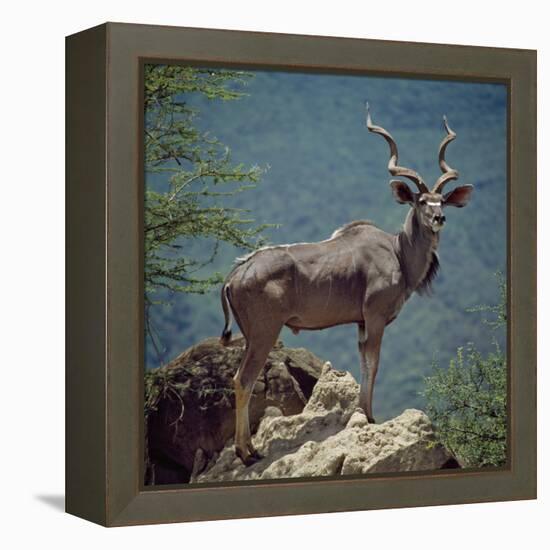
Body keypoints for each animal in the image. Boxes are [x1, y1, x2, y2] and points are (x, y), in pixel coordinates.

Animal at [220, 106, 474, 466]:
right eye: (422, 201)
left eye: (441, 200)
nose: (439, 219)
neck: (398, 251)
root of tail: (235, 275)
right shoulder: (376, 317)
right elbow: (374, 363)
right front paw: (369, 416)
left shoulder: (360, 322)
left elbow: (364, 362)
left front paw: (363, 413)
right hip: (265, 333)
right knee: (244, 379)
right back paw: (247, 452)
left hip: (251, 335)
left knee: (239, 378)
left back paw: (249, 449)